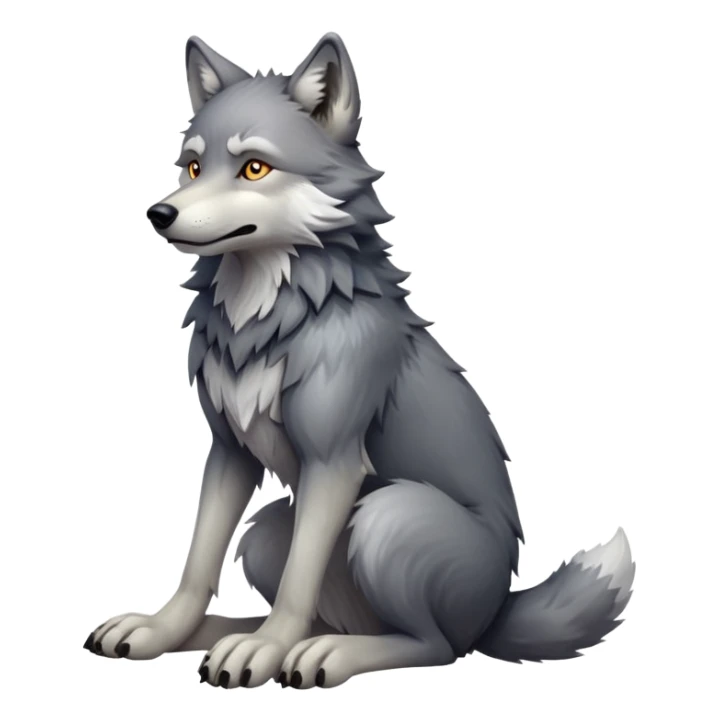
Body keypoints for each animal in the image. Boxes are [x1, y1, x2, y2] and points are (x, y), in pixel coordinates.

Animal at [87, 33, 635, 689]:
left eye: (254, 167)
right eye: (193, 167)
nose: (158, 215)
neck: (268, 321)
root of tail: (498, 609)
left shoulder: (334, 462)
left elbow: (296, 586)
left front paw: (264, 653)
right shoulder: (229, 450)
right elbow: (197, 563)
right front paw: (164, 629)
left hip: (384, 514)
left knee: (433, 646)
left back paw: (316, 654)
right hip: (269, 530)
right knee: (326, 612)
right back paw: (233, 635)